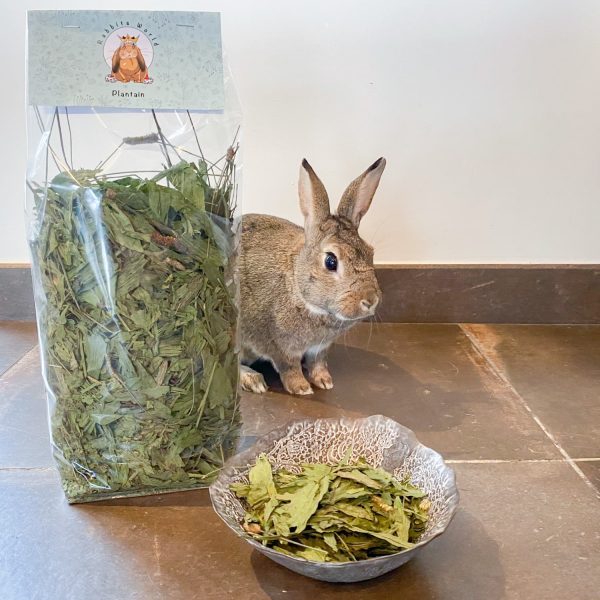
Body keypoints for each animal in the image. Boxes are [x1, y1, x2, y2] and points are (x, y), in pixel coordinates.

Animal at [239, 157, 384, 396]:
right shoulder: (278, 345)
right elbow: (289, 367)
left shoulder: (320, 347)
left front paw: (325, 381)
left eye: (371, 253)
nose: (370, 301)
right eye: (331, 261)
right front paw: (301, 388)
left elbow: (318, 363)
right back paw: (253, 380)